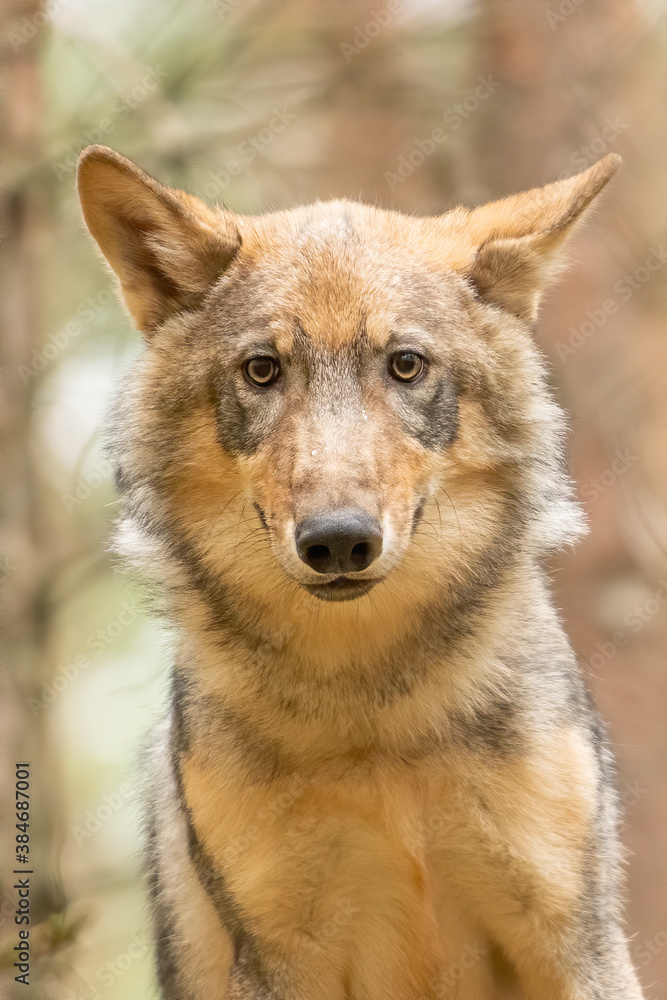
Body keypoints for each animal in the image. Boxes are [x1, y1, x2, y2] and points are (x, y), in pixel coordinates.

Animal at [75, 146, 644, 1000]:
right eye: (263, 370)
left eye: (404, 365)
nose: (338, 541)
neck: (371, 701)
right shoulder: (279, 955)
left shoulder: (570, 939)